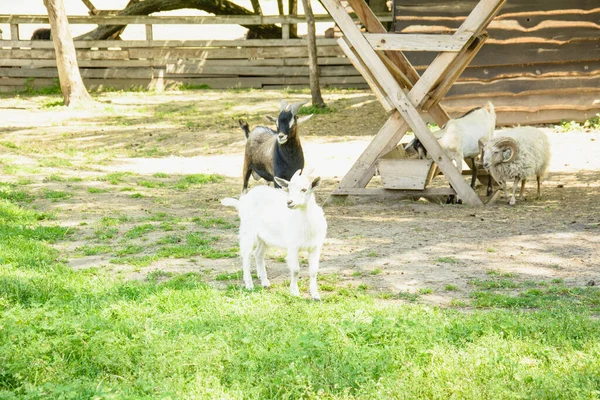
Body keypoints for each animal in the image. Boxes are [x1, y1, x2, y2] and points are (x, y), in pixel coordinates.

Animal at [220, 169, 326, 300]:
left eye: (304, 189)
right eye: (289, 189)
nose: (289, 202)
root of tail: (242, 202)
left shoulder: (315, 247)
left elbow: (314, 271)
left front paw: (315, 295)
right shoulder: (293, 246)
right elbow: (295, 269)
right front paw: (294, 292)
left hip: (264, 238)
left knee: (258, 254)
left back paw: (265, 282)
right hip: (247, 231)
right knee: (246, 256)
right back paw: (249, 285)